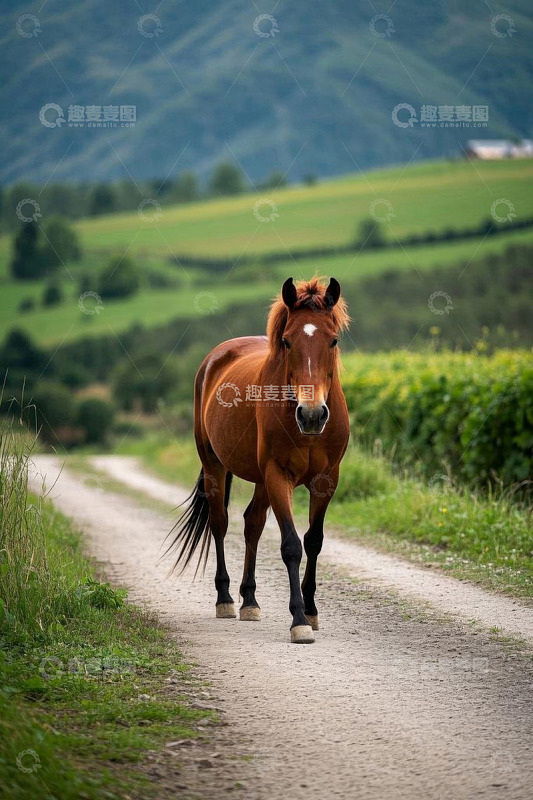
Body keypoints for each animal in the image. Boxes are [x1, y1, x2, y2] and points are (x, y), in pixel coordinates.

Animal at [167, 277, 350, 643]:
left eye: (334, 340)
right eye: (287, 341)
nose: (311, 415)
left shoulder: (326, 479)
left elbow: (314, 541)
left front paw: (311, 611)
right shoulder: (278, 475)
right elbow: (291, 545)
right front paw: (298, 621)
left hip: (261, 480)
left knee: (252, 523)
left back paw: (249, 600)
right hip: (215, 465)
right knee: (220, 523)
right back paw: (225, 599)